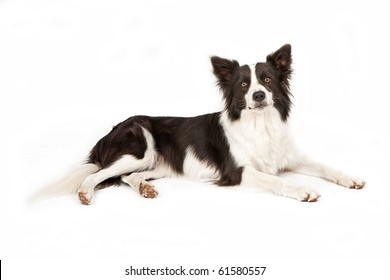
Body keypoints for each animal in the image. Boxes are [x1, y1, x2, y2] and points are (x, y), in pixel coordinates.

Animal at [42, 44, 366, 206]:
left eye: (267, 80)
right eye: (244, 85)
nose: (258, 95)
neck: (259, 124)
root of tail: (106, 136)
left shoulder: (289, 157)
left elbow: (324, 166)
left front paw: (350, 178)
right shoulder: (237, 171)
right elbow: (275, 180)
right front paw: (302, 190)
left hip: (159, 164)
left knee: (127, 177)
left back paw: (145, 189)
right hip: (140, 147)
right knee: (99, 174)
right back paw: (86, 193)